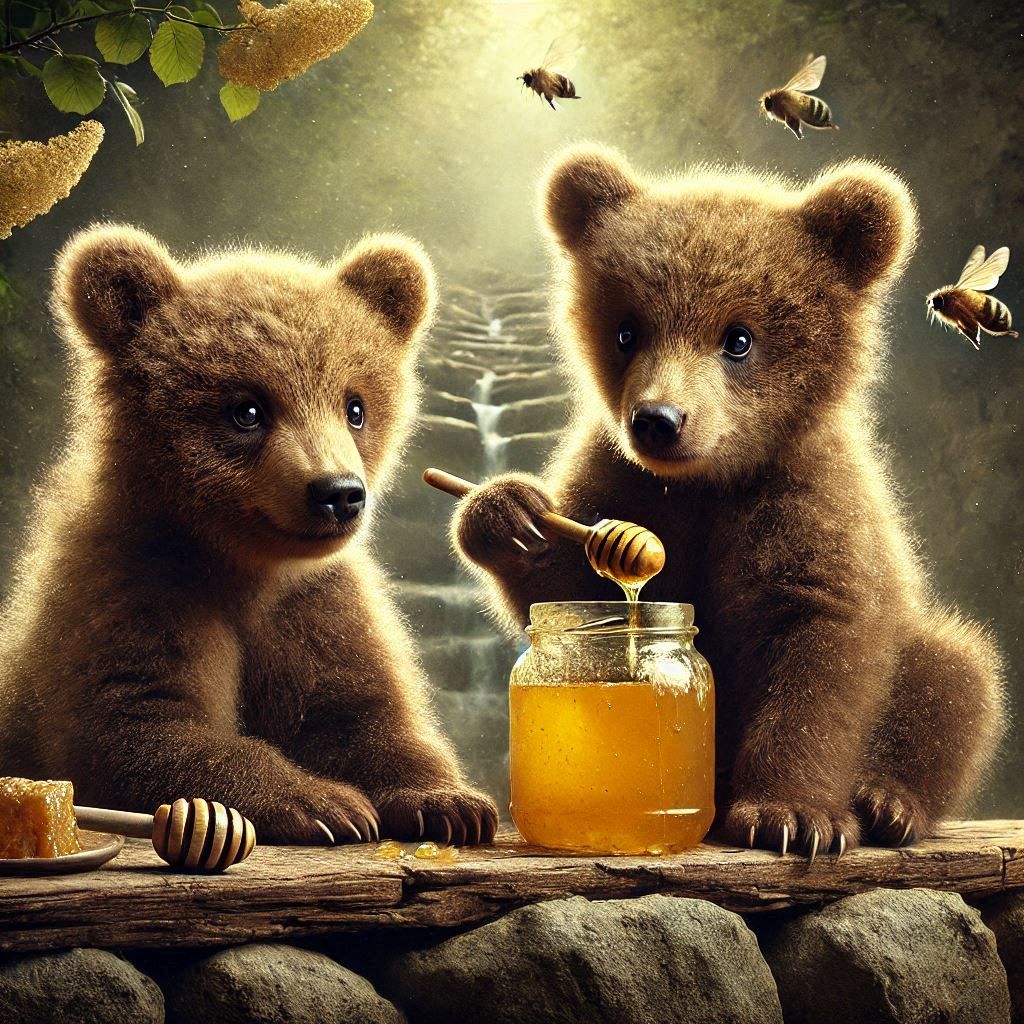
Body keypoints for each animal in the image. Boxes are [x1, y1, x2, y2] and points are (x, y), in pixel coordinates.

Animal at [0, 224, 497, 846]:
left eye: (355, 407)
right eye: (248, 409)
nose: (338, 493)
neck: (245, 563)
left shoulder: (314, 607)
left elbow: (359, 712)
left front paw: (452, 802)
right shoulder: (134, 583)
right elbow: (137, 721)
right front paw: (326, 803)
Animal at [453, 144, 1005, 858]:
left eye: (738, 338)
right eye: (628, 330)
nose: (659, 420)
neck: (708, 481)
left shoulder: (805, 502)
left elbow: (820, 652)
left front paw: (789, 814)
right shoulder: (626, 483)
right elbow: (572, 589)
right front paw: (506, 511)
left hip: (921, 653)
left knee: (956, 674)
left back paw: (887, 801)